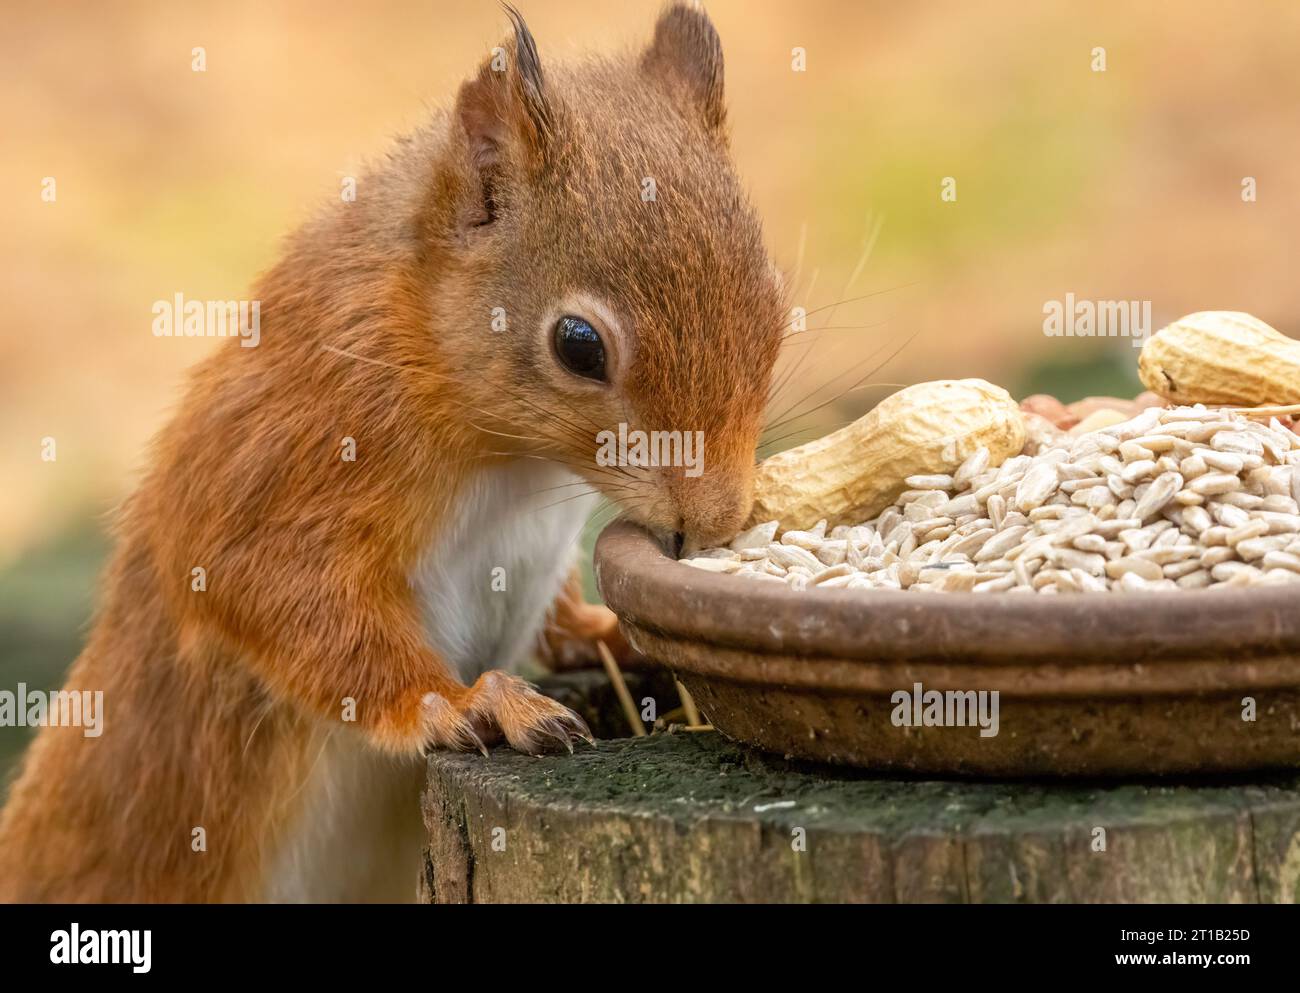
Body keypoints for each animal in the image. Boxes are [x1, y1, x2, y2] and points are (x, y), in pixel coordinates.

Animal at [0, 1, 780, 899]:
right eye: (578, 345)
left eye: (774, 298)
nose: (716, 520)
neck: (516, 464)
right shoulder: (301, 439)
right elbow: (267, 584)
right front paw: (465, 703)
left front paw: (605, 630)